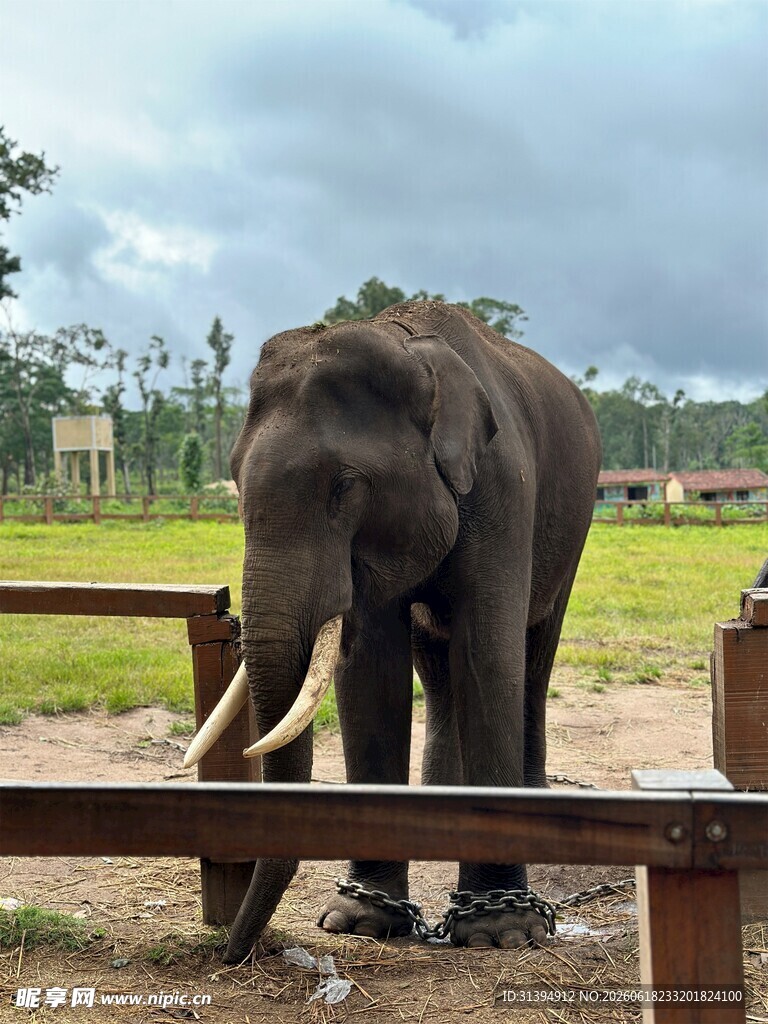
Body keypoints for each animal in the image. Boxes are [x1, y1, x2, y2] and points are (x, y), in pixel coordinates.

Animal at [192, 300, 601, 962]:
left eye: (345, 486)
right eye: (233, 482)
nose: (231, 955)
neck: (406, 343)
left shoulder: (502, 490)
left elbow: (489, 652)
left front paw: (501, 932)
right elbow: (369, 665)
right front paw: (360, 920)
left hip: (575, 524)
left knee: (534, 656)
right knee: (435, 668)